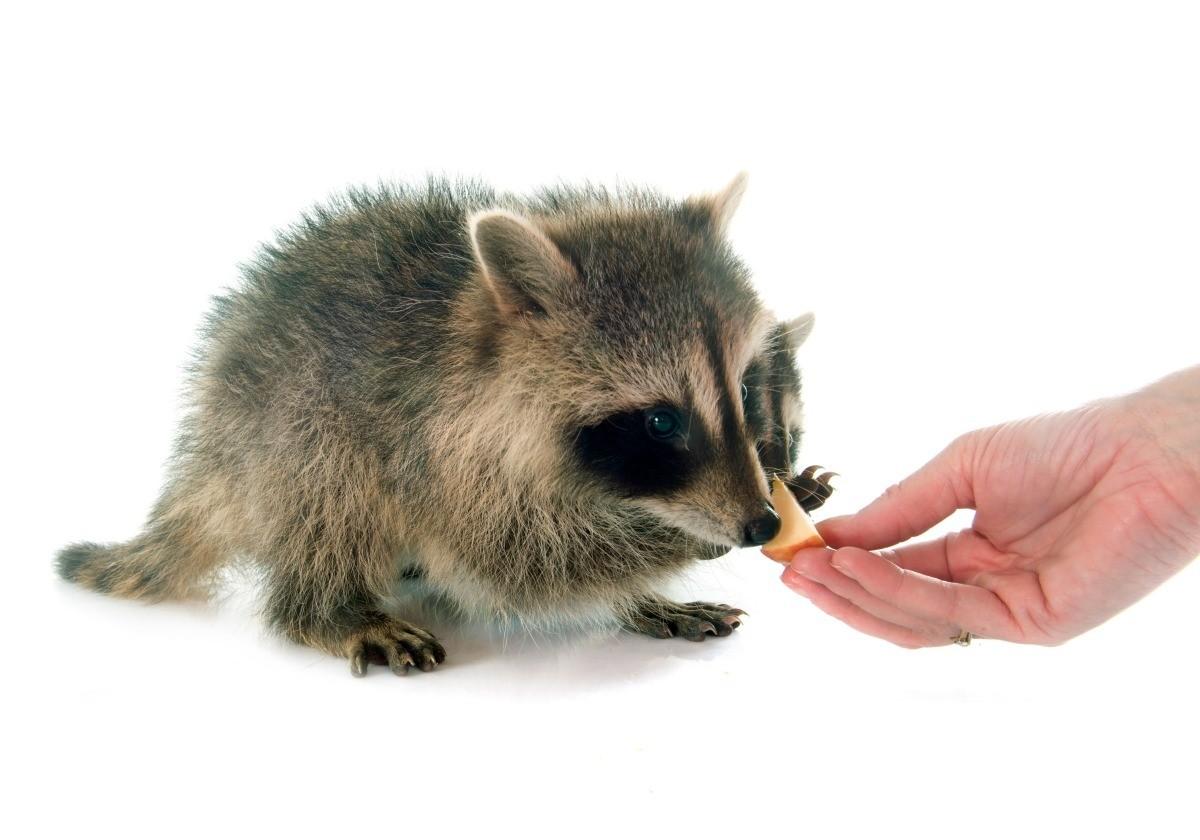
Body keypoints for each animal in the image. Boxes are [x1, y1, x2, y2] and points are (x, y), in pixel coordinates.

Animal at [56, 173, 833, 676]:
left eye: (744, 390)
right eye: (660, 421)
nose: (761, 524)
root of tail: (209, 443)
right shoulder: (430, 445)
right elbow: (526, 558)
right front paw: (674, 541)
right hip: (291, 427)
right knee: (326, 499)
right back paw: (326, 607)